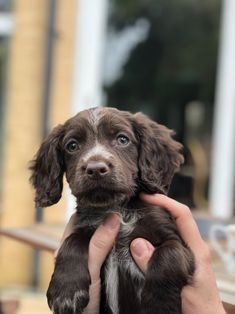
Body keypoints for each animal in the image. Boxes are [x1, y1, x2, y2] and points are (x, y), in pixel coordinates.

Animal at [29, 106, 195, 312]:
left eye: (122, 139)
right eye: (72, 145)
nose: (95, 169)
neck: (117, 209)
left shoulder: (179, 243)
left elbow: (168, 255)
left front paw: (160, 305)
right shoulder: (86, 227)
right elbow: (72, 241)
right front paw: (66, 292)